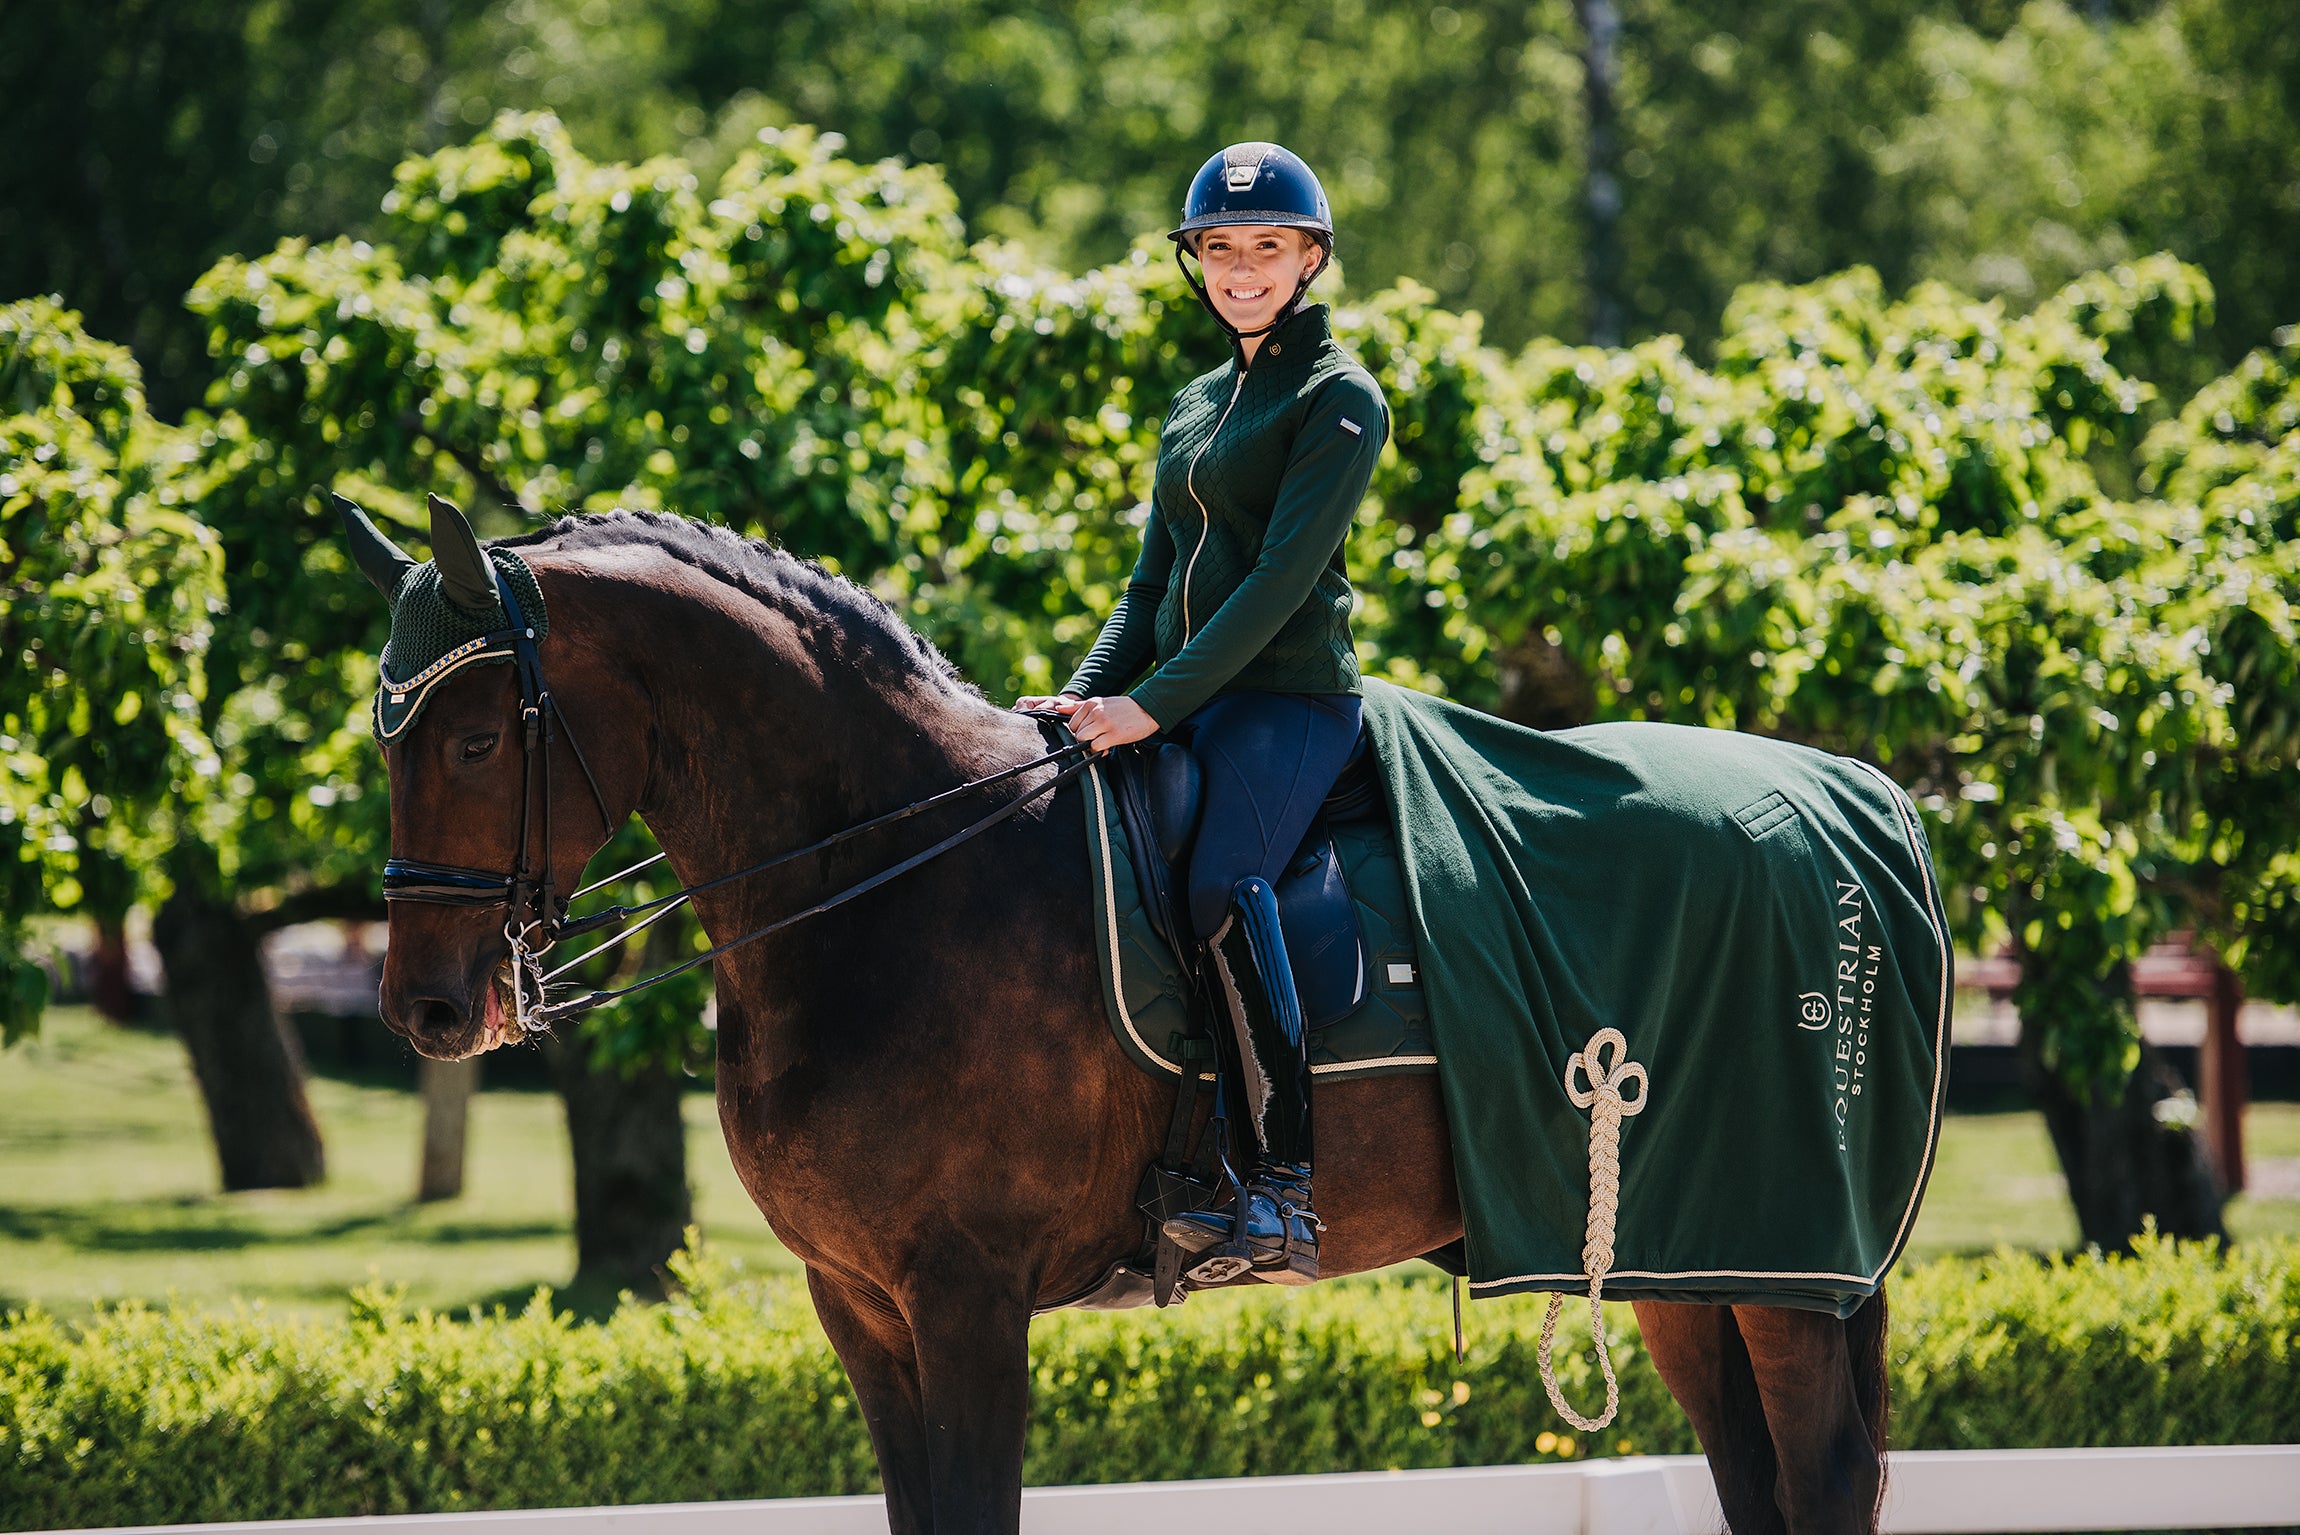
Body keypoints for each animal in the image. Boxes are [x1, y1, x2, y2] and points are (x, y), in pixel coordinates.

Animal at [372, 510, 1886, 1528]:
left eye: (473, 739)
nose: (429, 1006)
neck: (889, 871)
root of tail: (1844, 799)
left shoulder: (967, 1297)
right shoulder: (857, 1302)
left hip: (1775, 1262)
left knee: (1817, 1480)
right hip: (1672, 1257)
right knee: (1755, 1478)